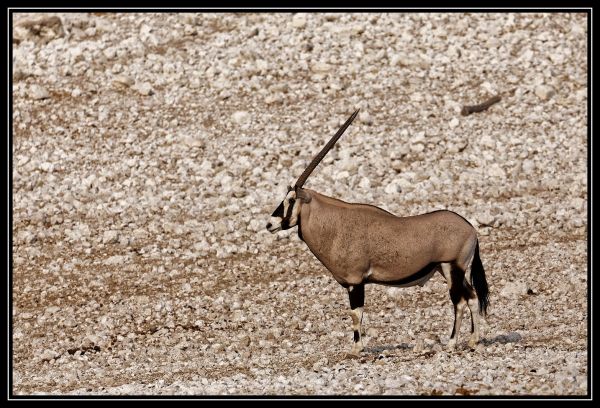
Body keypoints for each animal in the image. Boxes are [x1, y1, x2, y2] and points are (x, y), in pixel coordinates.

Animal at [266, 109, 488, 354]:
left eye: (291, 200)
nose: (270, 224)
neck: (334, 225)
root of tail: (471, 229)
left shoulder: (355, 282)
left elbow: (356, 313)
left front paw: (356, 349)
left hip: (451, 268)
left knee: (459, 301)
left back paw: (451, 343)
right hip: (449, 269)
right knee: (472, 297)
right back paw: (473, 340)